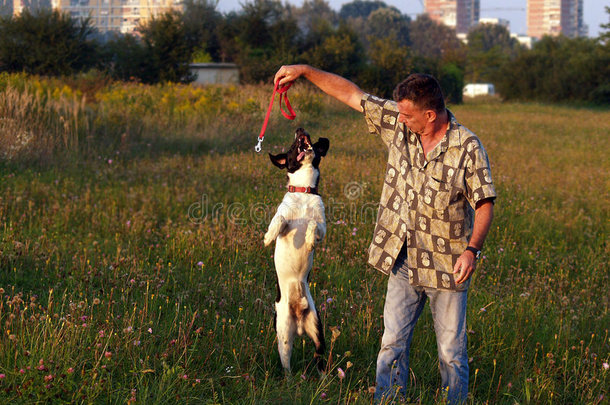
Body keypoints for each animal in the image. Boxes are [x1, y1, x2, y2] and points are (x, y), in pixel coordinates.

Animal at [262, 126, 328, 372]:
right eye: (291, 147)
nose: (300, 128)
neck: (303, 191)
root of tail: (299, 323)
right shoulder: (284, 220)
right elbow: (280, 219)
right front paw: (268, 237)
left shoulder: (322, 227)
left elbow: (312, 225)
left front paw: (308, 241)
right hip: (283, 336)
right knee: (287, 366)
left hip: (318, 331)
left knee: (319, 357)